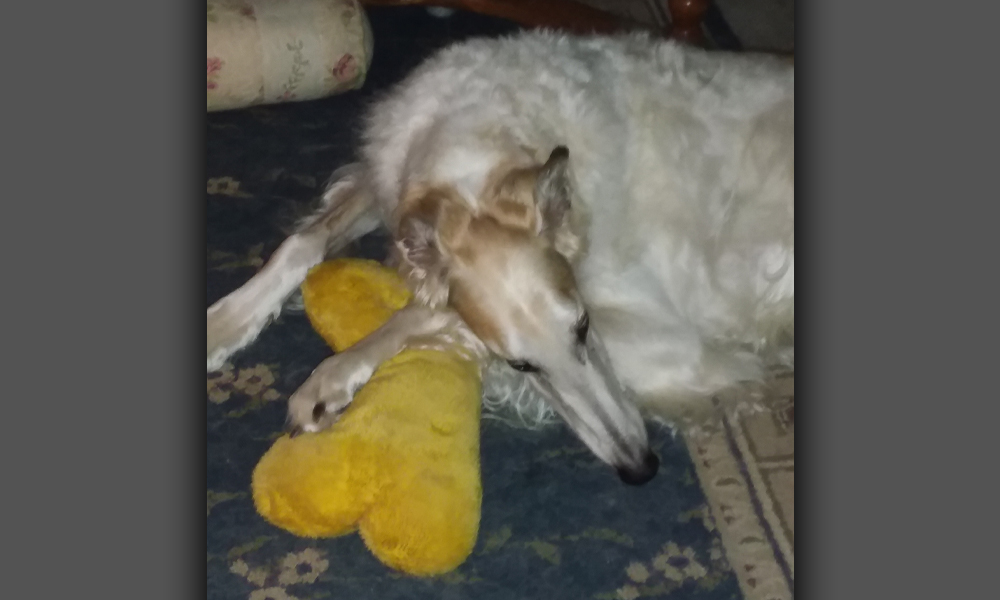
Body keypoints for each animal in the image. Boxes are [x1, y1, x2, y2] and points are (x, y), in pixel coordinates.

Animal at [207, 30, 792, 486]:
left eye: (584, 327)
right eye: (523, 364)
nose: (640, 468)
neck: (479, 145)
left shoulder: (668, 334)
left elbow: (425, 313)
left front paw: (331, 378)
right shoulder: (391, 188)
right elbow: (303, 242)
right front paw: (226, 323)